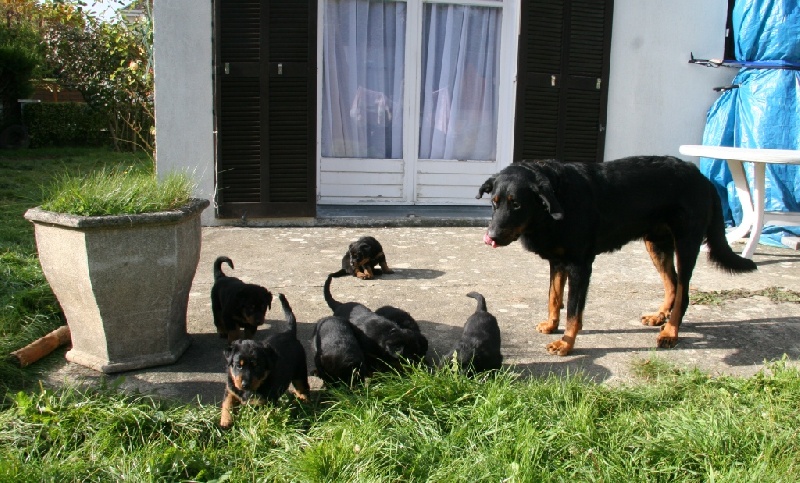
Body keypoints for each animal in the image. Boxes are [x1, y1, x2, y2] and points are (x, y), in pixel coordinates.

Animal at [220, 294, 310, 430]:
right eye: (238, 366)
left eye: (257, 367)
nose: (245, 384)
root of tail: (289, 333)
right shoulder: (231, 388)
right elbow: (227, 403)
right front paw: (225, 422)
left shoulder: (265, 403)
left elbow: (261, 416)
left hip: (300, 371)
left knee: (303, 387)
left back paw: (305, 402)